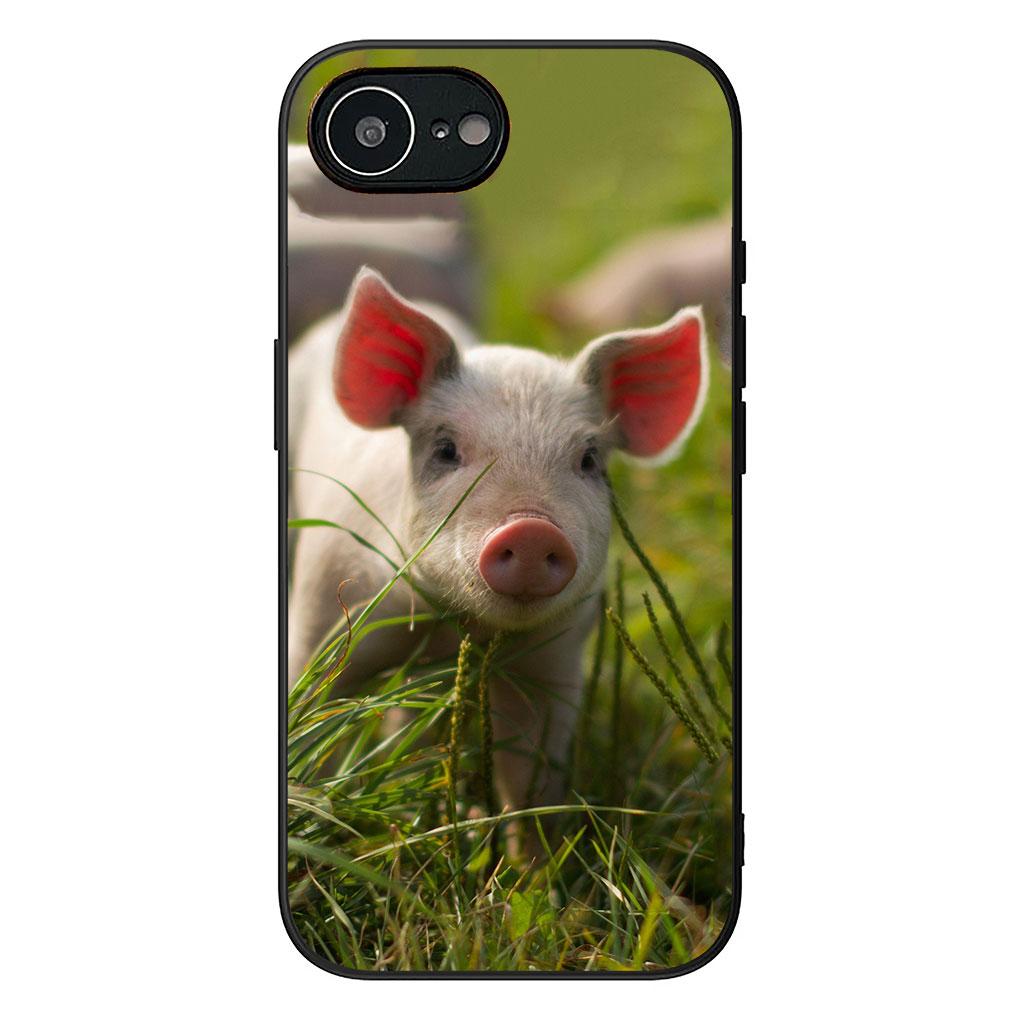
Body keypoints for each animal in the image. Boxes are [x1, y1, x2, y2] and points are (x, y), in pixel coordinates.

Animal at [288, 267, 708, 842]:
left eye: (589, 459)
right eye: (446, 450)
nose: (532, 531)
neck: (458, 624)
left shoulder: (555, 657)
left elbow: (531, 778)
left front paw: (529, 864)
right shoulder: (324, 606)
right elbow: (315, 708)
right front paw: (320, 812)